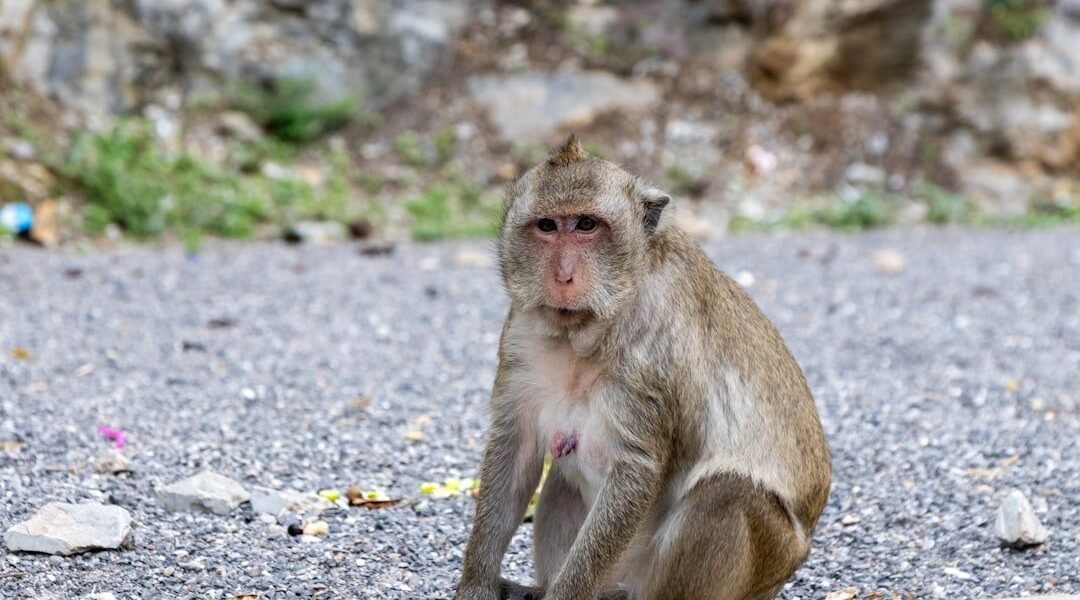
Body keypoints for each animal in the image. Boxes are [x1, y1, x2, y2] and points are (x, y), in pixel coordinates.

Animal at [454, 135, 831, 600]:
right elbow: (517, 449)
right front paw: (477, 585)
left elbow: (637, 469)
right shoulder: (522, 335)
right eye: (547, 227)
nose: (563, 276)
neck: (593, 327)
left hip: (759, 558)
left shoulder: (653, 350)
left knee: (728, 493)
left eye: (586, 225)